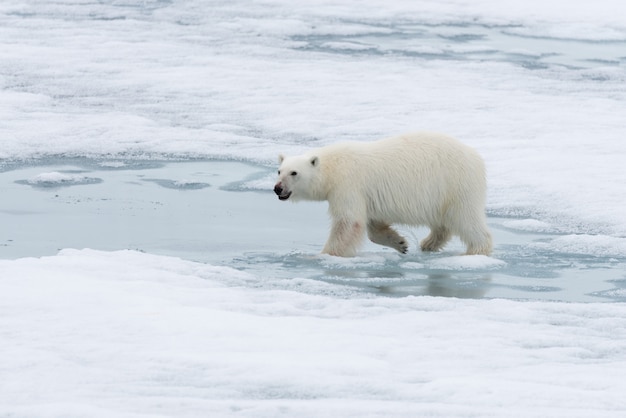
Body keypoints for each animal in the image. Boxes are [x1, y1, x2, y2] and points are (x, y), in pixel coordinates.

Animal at [272, 132, 492, 256]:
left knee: (466, 218)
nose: (278, 188)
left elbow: (349, 222)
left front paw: (326, 254)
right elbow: (373, 225)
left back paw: (477, 250)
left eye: (294, 173)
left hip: (455, 184)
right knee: (443, 223)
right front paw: (400, 243)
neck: (333, 167)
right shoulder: (366, 195)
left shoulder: (348, 186)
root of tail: (476, 157)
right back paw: (428, 243)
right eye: (279, 171)